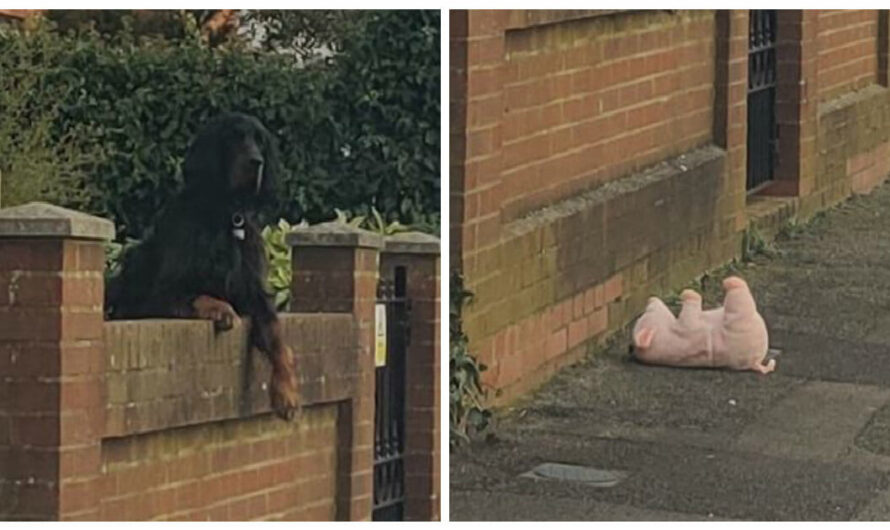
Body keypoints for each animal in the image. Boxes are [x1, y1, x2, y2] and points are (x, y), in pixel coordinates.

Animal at [106, 113, 300, 418]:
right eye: (234, 137)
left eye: (260, 140)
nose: (256, 161)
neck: (228, 214)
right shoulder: (164, 291)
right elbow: (196, 294)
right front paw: (222, 309)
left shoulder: (253, 288)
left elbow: (276, 333)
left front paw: (286, 392)